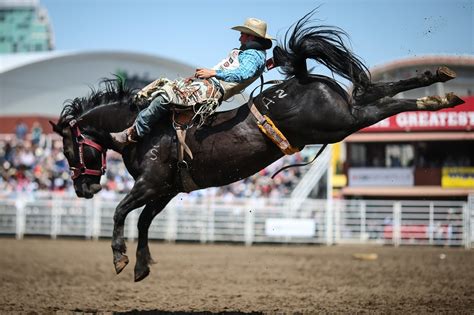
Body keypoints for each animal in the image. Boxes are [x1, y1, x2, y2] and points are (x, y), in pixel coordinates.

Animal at [51, 12, 462, 282]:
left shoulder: (150, 184)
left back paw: (434, 99)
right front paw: (140, 266)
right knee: (373, 91)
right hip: (346, 112)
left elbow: (121, 212)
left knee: (382, 106)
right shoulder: (165, 189)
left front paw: (120, 259)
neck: (148, 131)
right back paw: (438, 83)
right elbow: (144, 222)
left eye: (70, 150)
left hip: (341, 122)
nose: (83, 188)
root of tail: (300, 77)